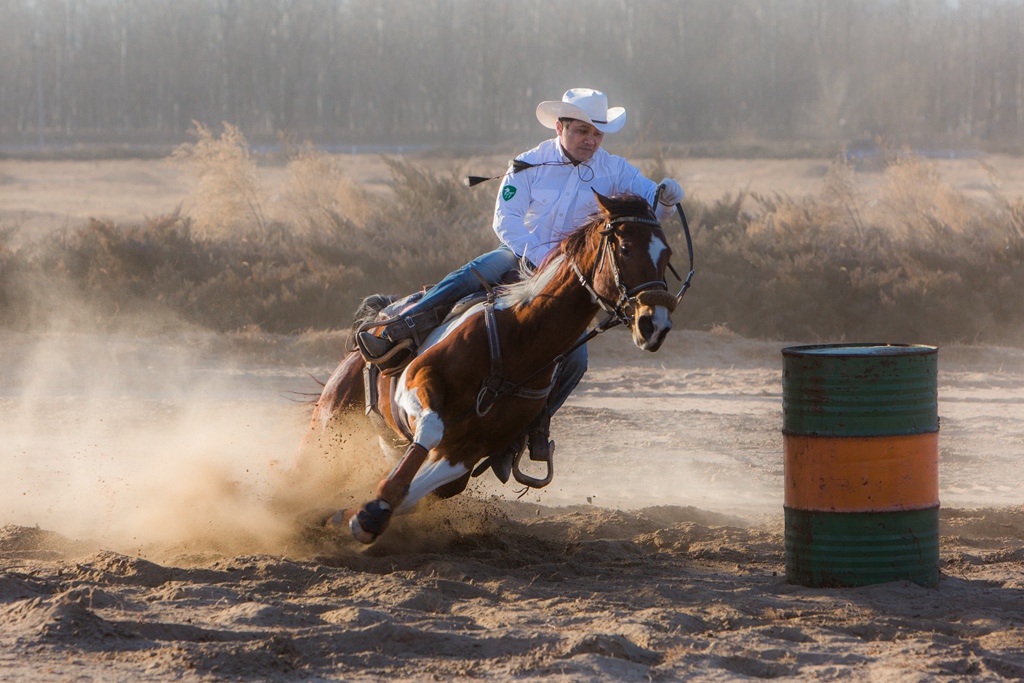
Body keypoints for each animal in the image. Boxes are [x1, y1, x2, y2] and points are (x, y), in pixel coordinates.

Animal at [309, 192, 679, 544]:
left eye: (667, 255)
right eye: (626, 248)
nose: (654, 325)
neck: (518, 340)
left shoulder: (471, 450)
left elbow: (420, 492)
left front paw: (364, 514)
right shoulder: (417, 382)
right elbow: (431, 430)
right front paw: (367, 510)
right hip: (330, 422)